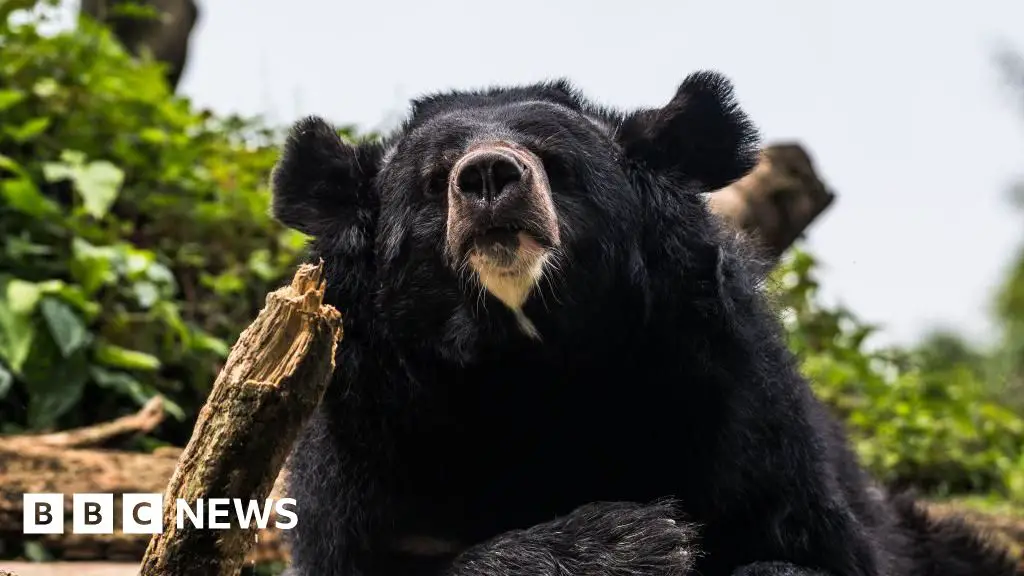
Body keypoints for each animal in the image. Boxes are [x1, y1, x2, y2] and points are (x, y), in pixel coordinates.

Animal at [268, 72, 1019, 573]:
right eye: (433, 180)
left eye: (556, 163)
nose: (488, 178)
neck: (525, 364)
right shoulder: (370, 440)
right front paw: (628, 541)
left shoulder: (737, 408)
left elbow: (803, 546)